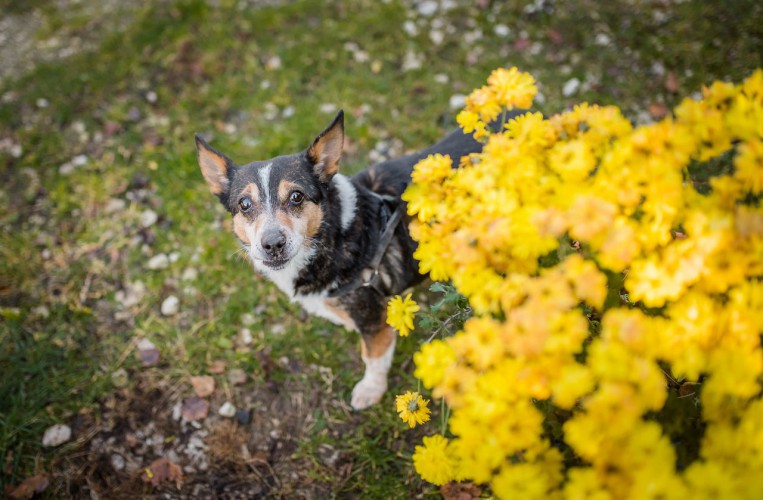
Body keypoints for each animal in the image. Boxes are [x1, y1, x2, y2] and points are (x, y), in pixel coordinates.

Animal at [195, 111, 484, 408]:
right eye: (244, 204)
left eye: (297, 196)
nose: (272, 244)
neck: (334, 234)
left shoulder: (374, 318)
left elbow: (373, 357)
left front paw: (370, 390)